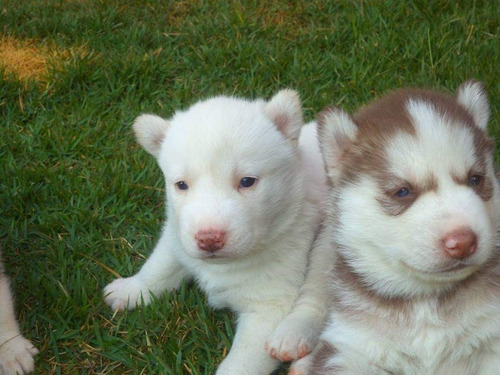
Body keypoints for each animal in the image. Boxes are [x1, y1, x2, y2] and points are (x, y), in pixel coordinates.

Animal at [103, 89, 326, 374]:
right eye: (181, 185)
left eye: (247, 181)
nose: (209, 239)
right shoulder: (177, 236)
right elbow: (158, 267)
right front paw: (131, 289)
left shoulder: (270, 307)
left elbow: (240, 364)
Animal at [292, 81, 500, 375]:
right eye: (403, 191)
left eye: (475, 179)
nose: (462, 242)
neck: (424, 302)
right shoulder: (350, 348)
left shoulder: (493, 339)